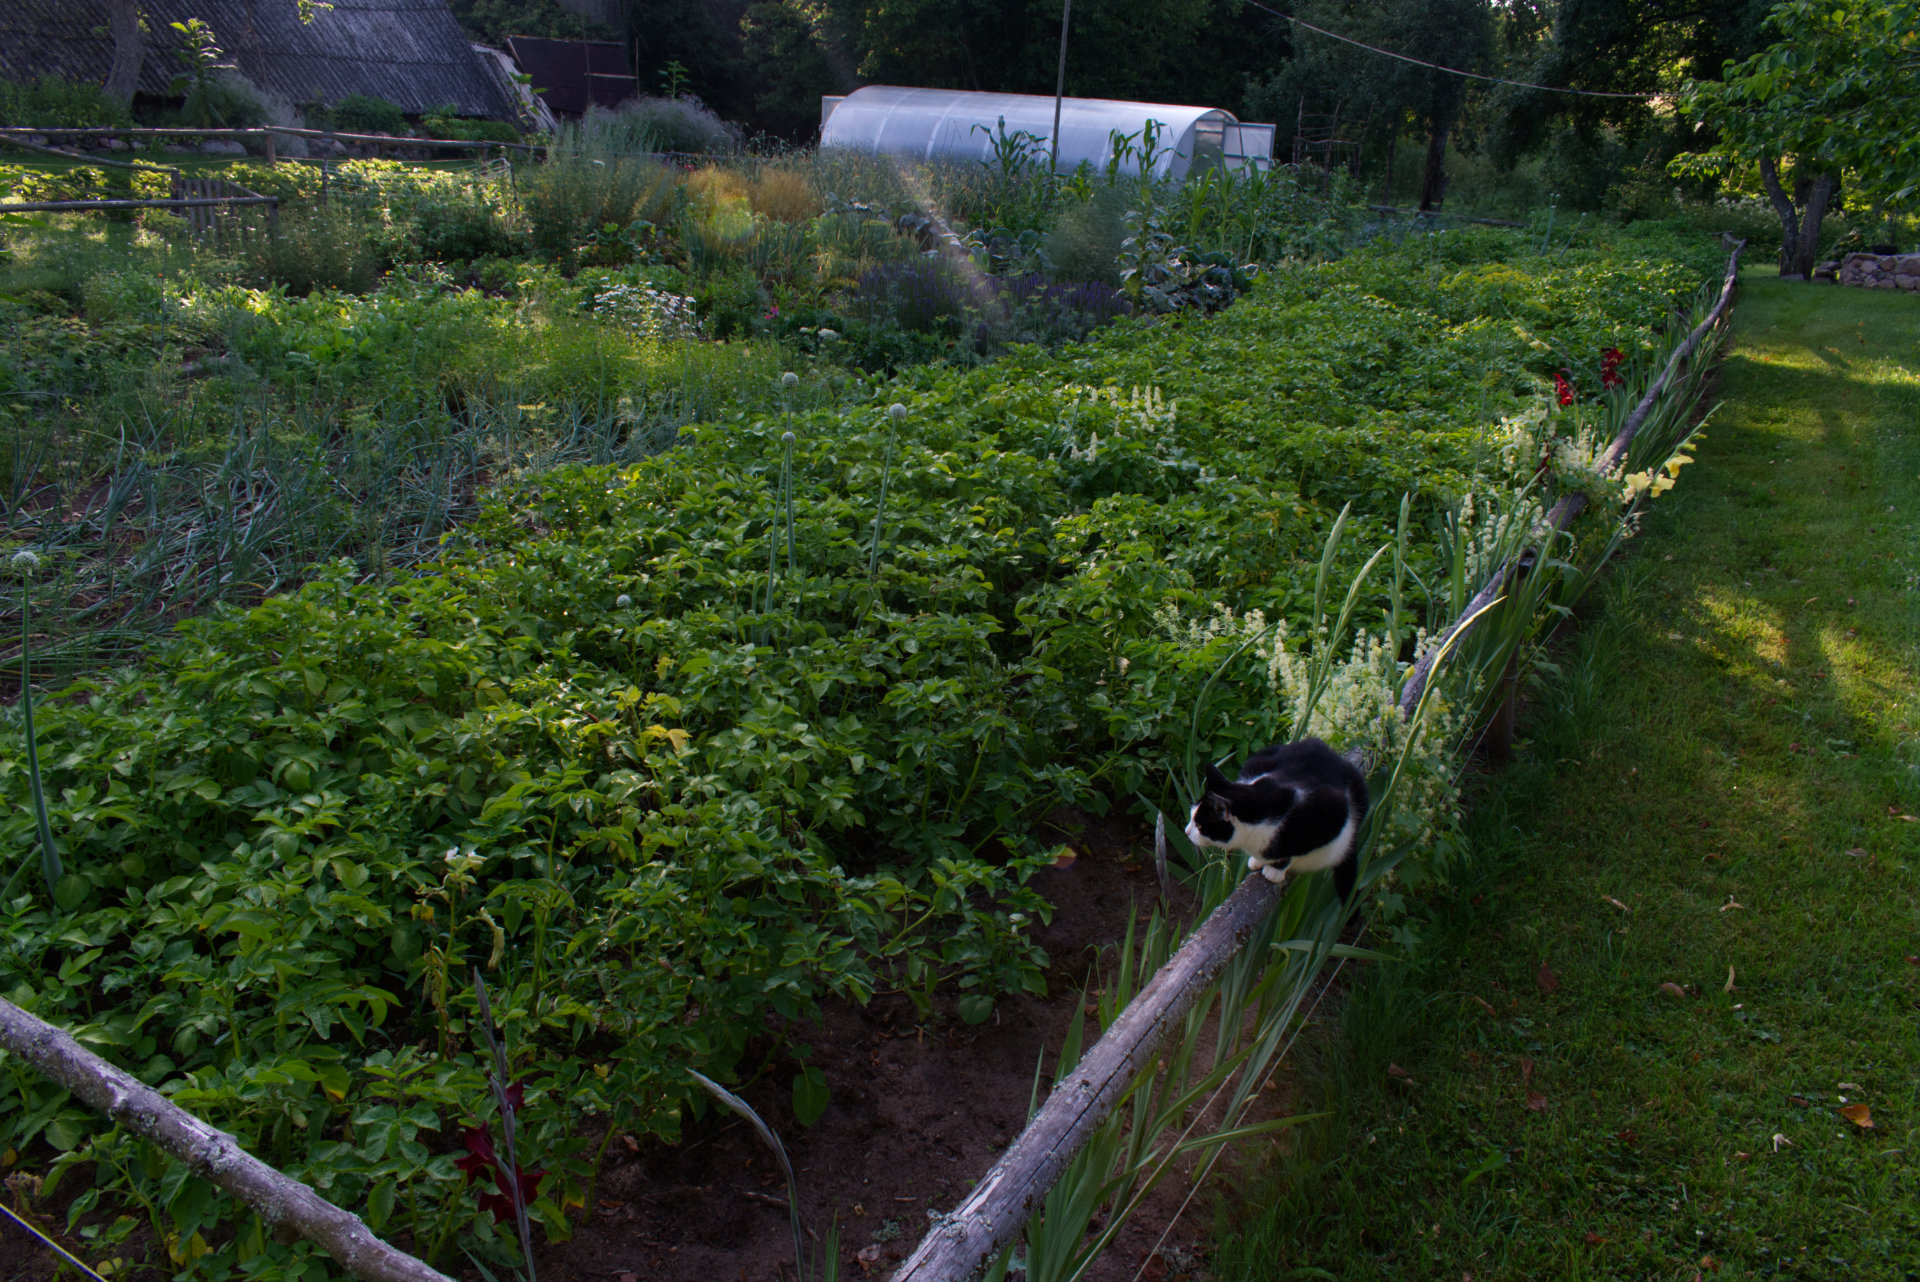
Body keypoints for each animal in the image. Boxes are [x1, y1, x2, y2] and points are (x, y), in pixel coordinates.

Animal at [1182, 736, 1367, 905]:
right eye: (1191, 817)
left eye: (1199, 825)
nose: (1186, 831)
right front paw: (1258, 860)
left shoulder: (1332, 814)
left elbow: (1294, 851)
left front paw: (1275, 870)